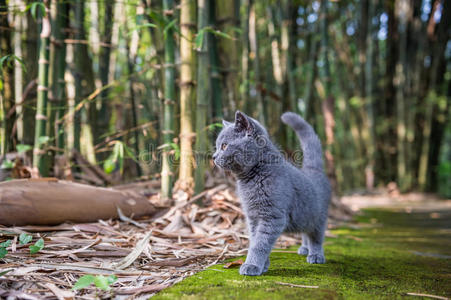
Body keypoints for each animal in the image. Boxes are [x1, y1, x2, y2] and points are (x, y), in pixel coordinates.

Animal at [214, 111, 330, 276]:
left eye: (224, 146)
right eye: (217, 147)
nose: (213, 157)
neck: (252, 178)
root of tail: (313, 171)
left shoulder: (272, 216)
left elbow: (260, 243)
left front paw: (252, 265)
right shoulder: (253, 217)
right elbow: (255, 240)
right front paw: (263, 265)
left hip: (318, 216)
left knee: (316, 236)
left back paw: (315, 255)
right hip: (304, 215)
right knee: (306, 231)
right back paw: (304, 248)